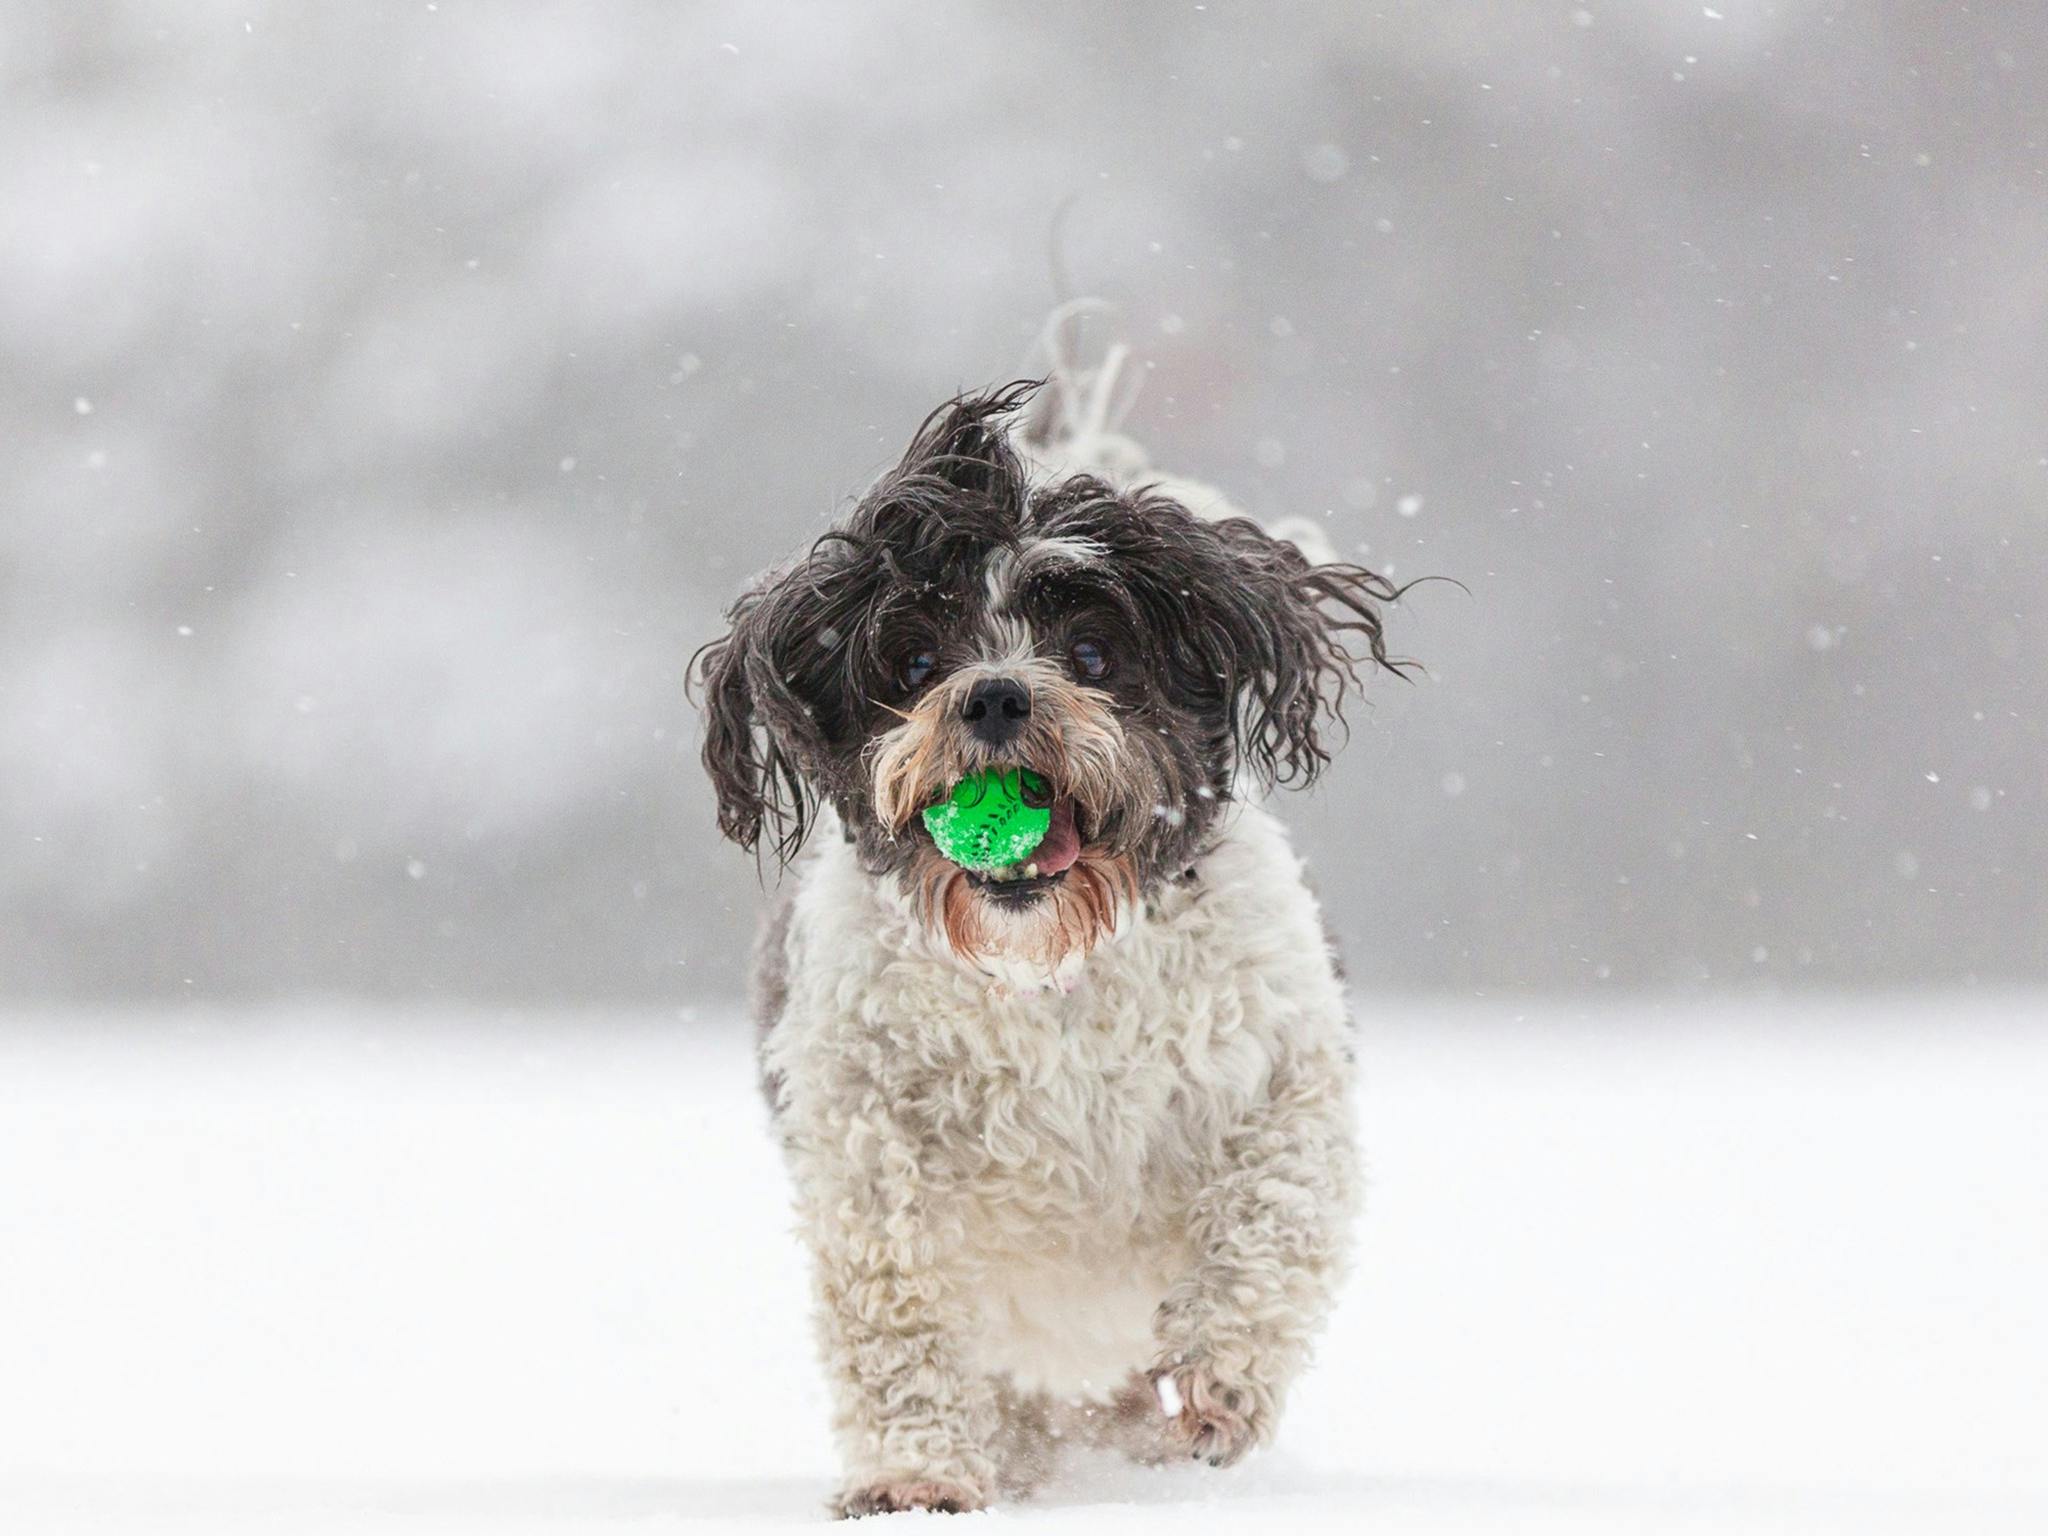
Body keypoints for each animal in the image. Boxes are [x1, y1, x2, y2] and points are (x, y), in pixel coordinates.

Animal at [696, 376, 1400, 1515]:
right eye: (915, 661)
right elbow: (895, 1303)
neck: (1045, 969)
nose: (992, 693)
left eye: (1092, 655)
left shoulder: (1281, 1066)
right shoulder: (865, 1129)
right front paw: (913, 1474)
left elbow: (1275, 1212)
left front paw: (1217, 1381)